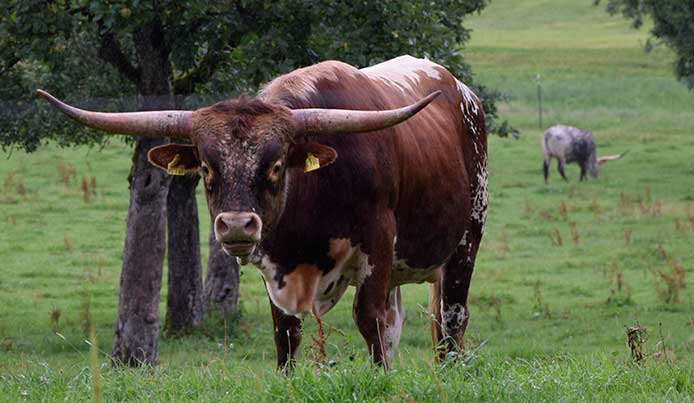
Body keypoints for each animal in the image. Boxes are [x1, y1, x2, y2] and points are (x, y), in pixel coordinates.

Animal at [38, 55, 490, 370]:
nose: (237, 224)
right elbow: (286, 335)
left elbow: (369, 320)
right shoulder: (276, 268)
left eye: (275, 166)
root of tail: (459, 89)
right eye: (207, 168)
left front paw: (382, 382)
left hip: (467, 239)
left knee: (450, 320)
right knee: (403, 323)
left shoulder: (377, 245)